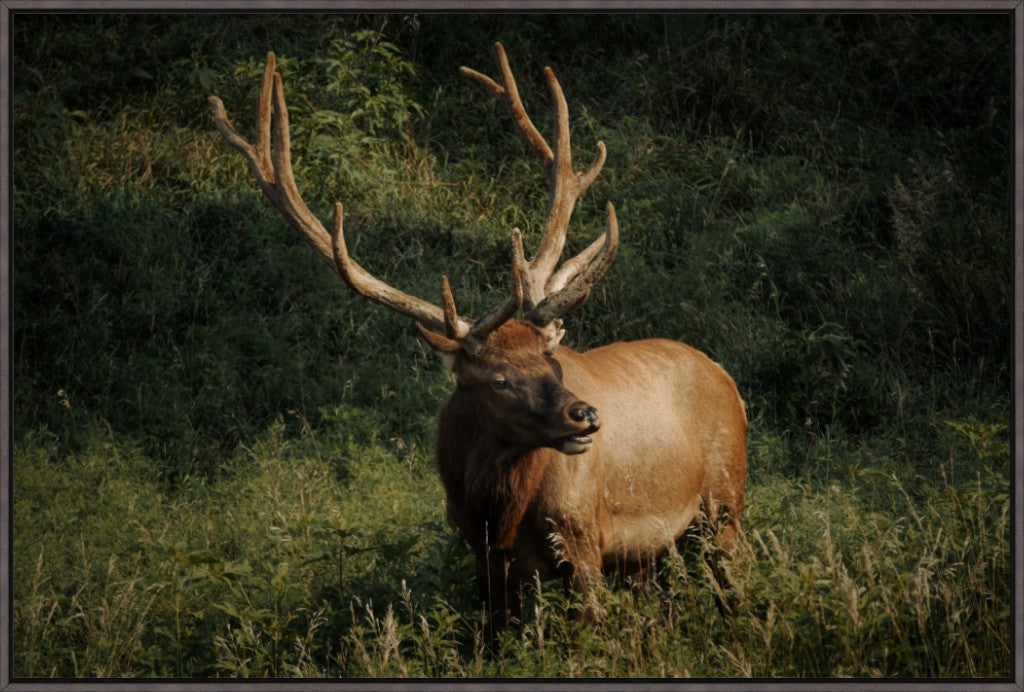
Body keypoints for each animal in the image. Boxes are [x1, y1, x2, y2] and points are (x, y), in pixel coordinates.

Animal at [209, 44, 745, 630]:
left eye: (554, 363)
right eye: (499, 380)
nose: (586, 414)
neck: (499, 514)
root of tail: (726, 376)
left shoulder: (582, 540)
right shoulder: (482, 558)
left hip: (725, 501)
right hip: (647, 552)